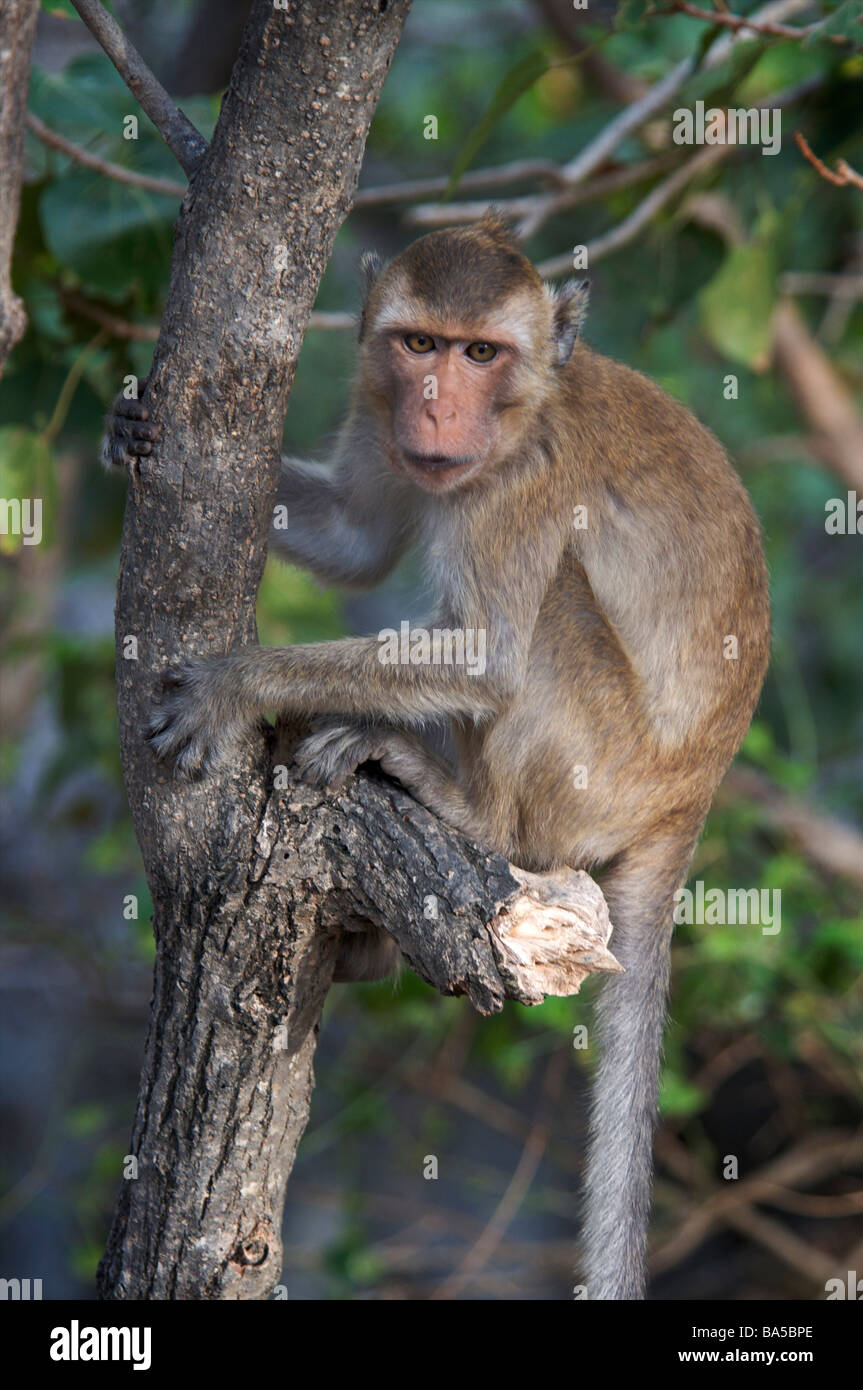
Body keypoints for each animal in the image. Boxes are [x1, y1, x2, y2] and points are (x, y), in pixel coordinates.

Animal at [103, 211, 770, 1299]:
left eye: (479, 355)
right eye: (419, 344)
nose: (433, 404)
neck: (520, 417)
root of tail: (691, 800)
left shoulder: (524, 490)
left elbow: (486, 658)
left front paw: (234, 683)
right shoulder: (379, 415)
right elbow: (360, 540)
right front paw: (126, 433)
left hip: (604, 771)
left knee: (551, 616)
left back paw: (460, 802)